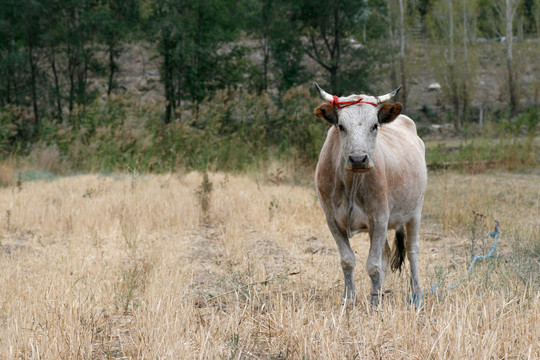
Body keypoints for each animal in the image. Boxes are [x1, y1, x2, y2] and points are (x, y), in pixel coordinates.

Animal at [312, 82, 426, 306]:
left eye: (374, 126)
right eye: (341, 126)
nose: (358, 159)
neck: (351, 184)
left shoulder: (380, 217)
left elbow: (373, 265)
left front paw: (374, 305)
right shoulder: (332, 219)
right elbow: (348, 260)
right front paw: (349, 299)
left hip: (415, 211)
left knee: (412, 250)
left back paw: (416, 295)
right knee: (385, 255)